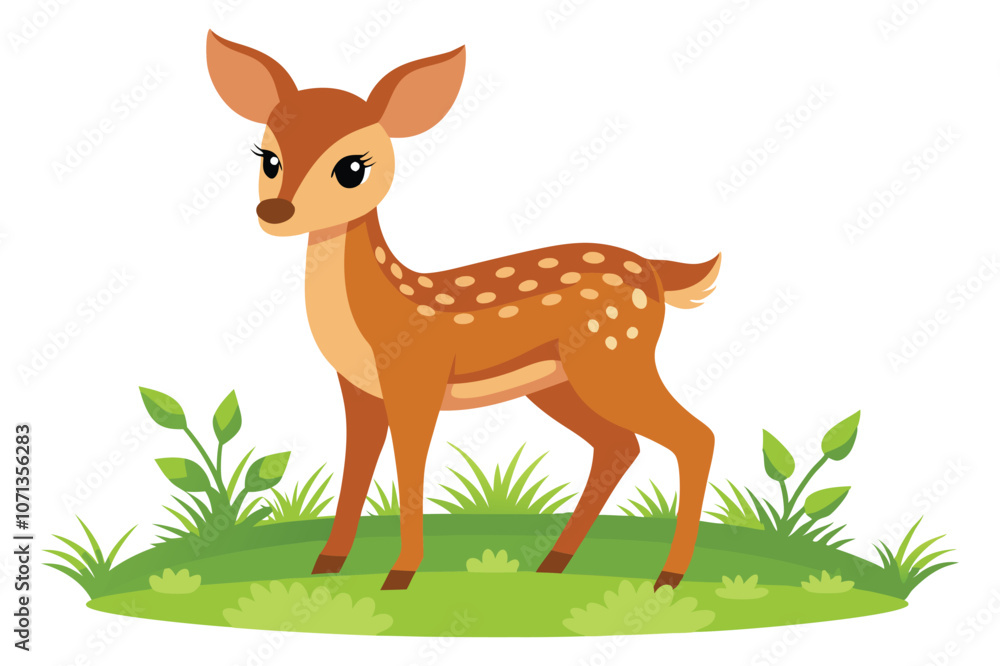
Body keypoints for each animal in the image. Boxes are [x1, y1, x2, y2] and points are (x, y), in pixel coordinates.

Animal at [206, 31, 720, 591]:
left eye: (351, 168)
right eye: (268, 158)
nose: (274, 211)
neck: (379, 313)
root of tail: (656, 273)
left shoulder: (417, 380)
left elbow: (410, 470)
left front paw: (400, 574)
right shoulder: (359, 390)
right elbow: (355, 470)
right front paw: (328, 564)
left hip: (614, 354)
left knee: (695, 436)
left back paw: (668, 576)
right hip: (559, 382)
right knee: (620, 445)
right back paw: (554, 562)